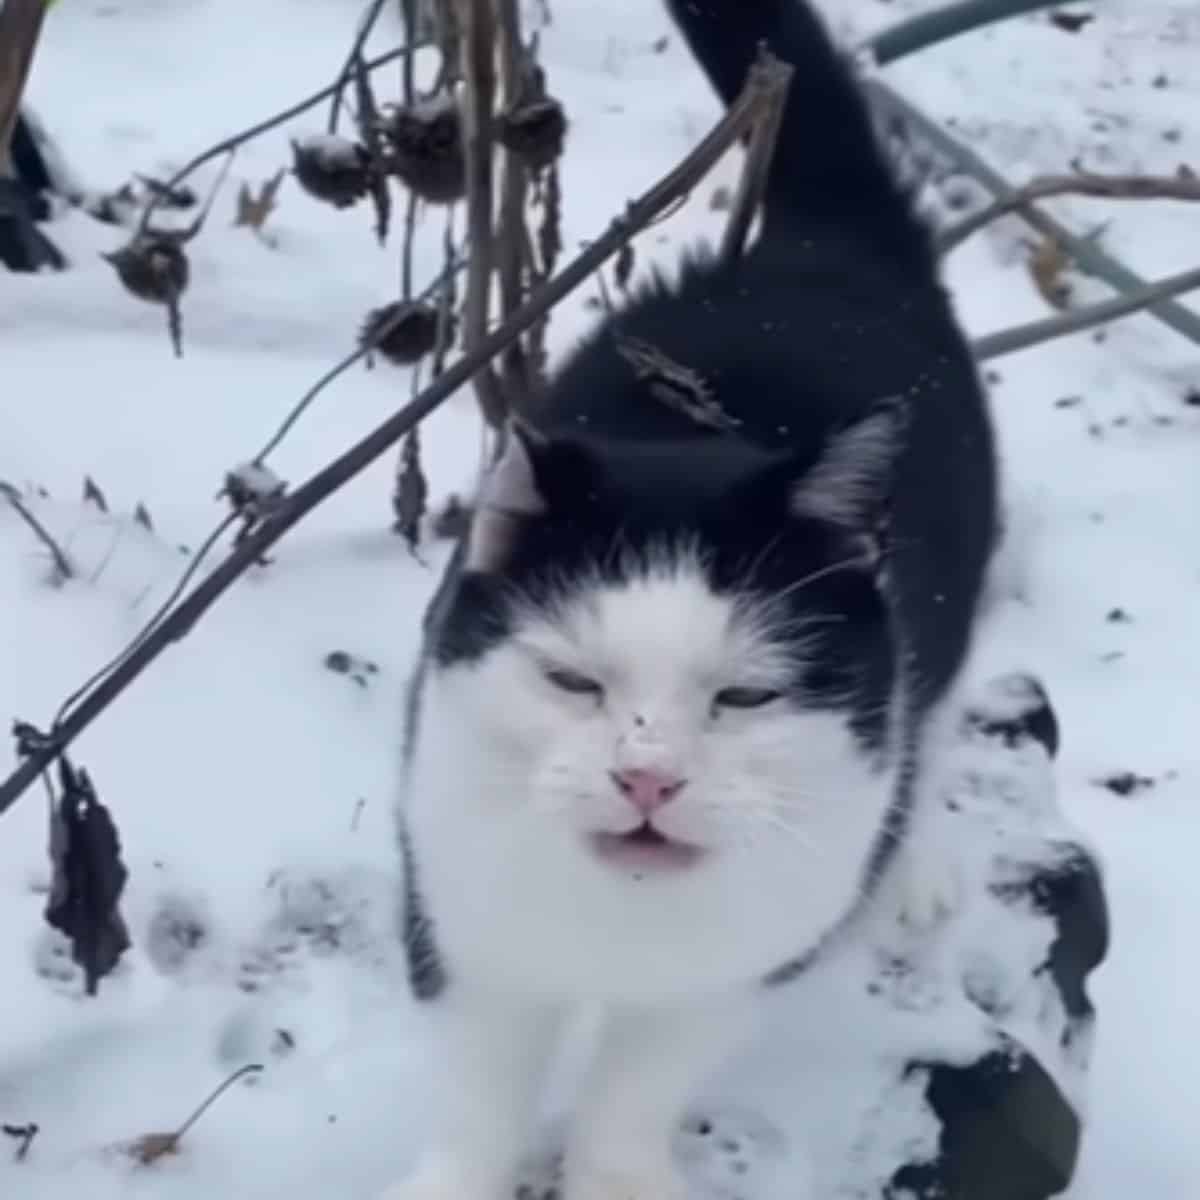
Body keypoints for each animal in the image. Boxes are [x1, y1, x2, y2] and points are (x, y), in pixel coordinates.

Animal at [381, 2, 993, 1200]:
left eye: (746, 698)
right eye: (571, 680)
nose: (647, 778)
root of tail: (825, 243)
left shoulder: (734, 968)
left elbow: (634, 1093)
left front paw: (615, 1177)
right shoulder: (464, 921)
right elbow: (481, 1088)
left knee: (935, 712)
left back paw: (915, 860)